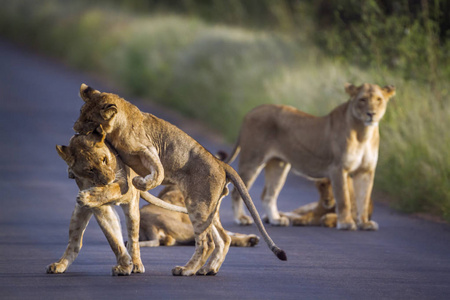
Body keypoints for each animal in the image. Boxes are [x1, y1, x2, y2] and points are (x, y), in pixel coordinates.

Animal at [74, 84, 284, 276]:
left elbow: (158, 172)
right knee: (223, 239)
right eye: (81, 113)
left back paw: (186, 270)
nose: (75, 128)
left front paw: (141, 183)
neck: (120, 123)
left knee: (206, 244)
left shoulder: (148, 149)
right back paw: (208, 269)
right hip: (209, 208)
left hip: (197, 205)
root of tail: (220, 163)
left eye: (89, 119)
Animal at [225, 83, 394, 231]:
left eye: (379, 100)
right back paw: (241, 218)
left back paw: (276, 219)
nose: (371, 114)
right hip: (252, 159)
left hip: (279, 165)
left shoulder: (366, 171)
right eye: (362, 100)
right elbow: (343, 199)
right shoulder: (338, 168)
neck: (364, 133)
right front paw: (346, 223)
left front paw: (365, 223)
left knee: (268, 195)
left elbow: (364, 199)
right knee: (237, 192)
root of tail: (250, 112)